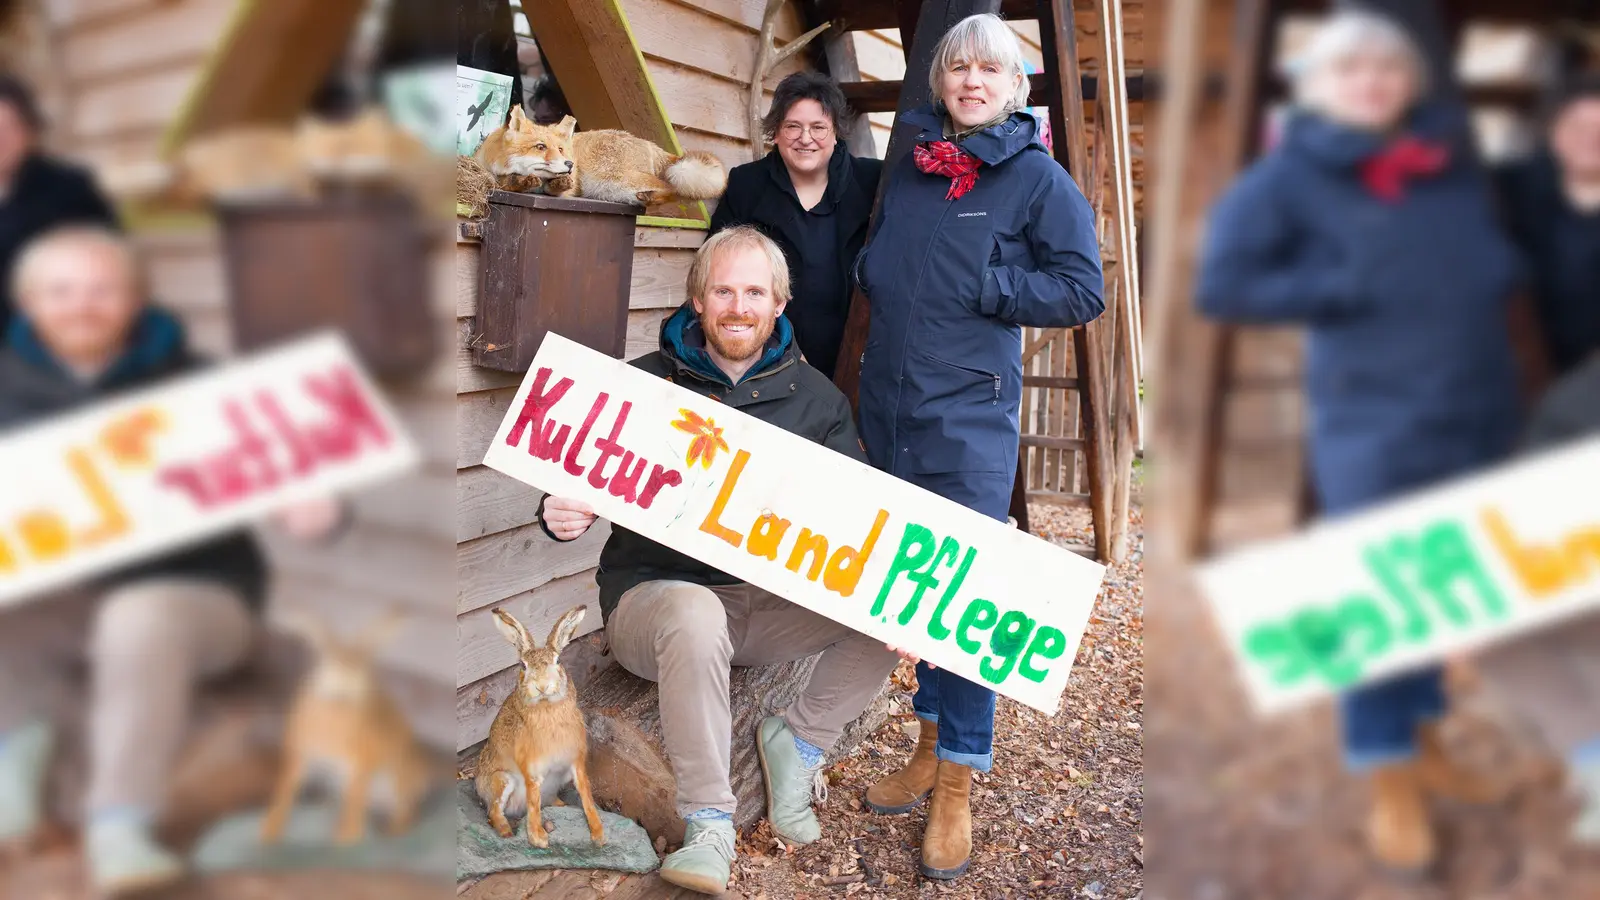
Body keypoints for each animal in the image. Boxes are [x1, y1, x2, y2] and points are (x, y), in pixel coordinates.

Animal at [473, 104, 726, 204]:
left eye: (561, 149)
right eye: (540, 147)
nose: (570, 164)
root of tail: (645, 142)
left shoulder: (570, 187)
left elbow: (554, 188)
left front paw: (554, 184)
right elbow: (504, 182)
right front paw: (519, 181)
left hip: (612, 179)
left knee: (671, 185)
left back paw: (653, 198)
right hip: (610, 190)